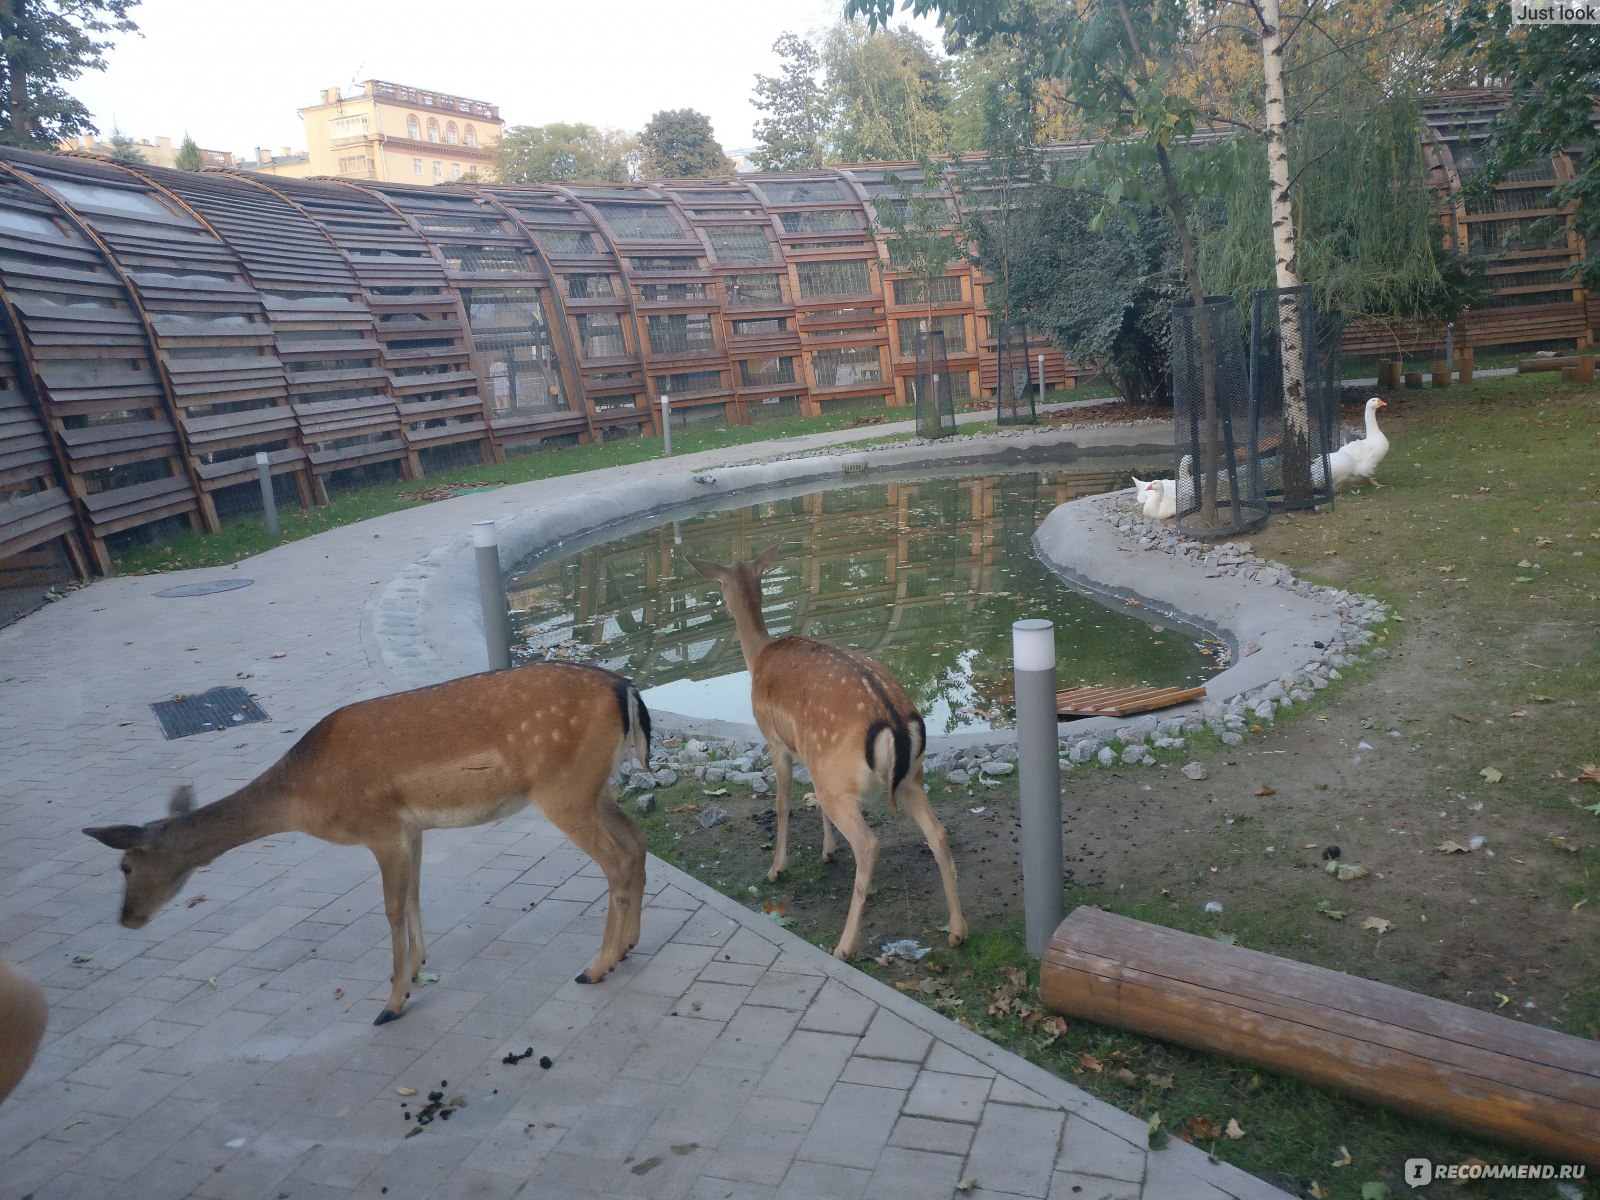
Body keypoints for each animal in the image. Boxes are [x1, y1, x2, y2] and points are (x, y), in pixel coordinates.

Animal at [84, 668, 649, 1024]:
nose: (126, 918)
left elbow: (391, 908)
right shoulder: (411, 828)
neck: (307, 795)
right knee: (638, 841)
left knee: (617, 859)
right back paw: (626, 947)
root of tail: (625, 688)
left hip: (564, 789)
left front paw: (392, 1002)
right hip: (595, 788)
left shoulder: (379, 829)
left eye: (125, 867)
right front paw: (418, 967)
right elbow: (416, 894)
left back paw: (596, 966)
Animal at [684, 550, 966, 966]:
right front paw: (828, 851)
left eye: (719, 585)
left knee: (869, 844)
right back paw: (958, 932)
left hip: (842, 777)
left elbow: (783, 803)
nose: (719, 606)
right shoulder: (810, 754)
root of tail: (896, 723)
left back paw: (844, 945)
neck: (759, 658)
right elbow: (811, 799)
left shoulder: (775, 741)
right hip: (910, 777)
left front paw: (776, 868)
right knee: (938, 833)